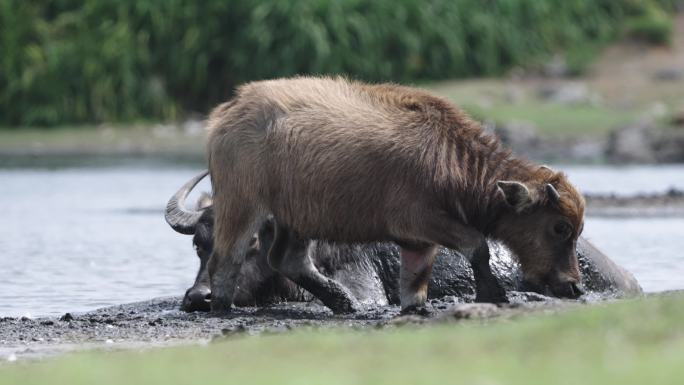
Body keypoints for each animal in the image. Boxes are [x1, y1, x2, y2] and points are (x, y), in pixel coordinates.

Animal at [204, 77, 588, 312]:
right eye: (560, 228)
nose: (574, 287)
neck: (447, 155)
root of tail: (229, 109)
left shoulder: (418, 240)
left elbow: (415, 281)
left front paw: (415, 308)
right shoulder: (422, 221)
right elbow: (477, 244)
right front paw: (493, 293)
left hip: (296, 216)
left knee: (288, 259)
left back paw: (342, 302)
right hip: (241, 204)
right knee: (226, 258)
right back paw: (221, 306)